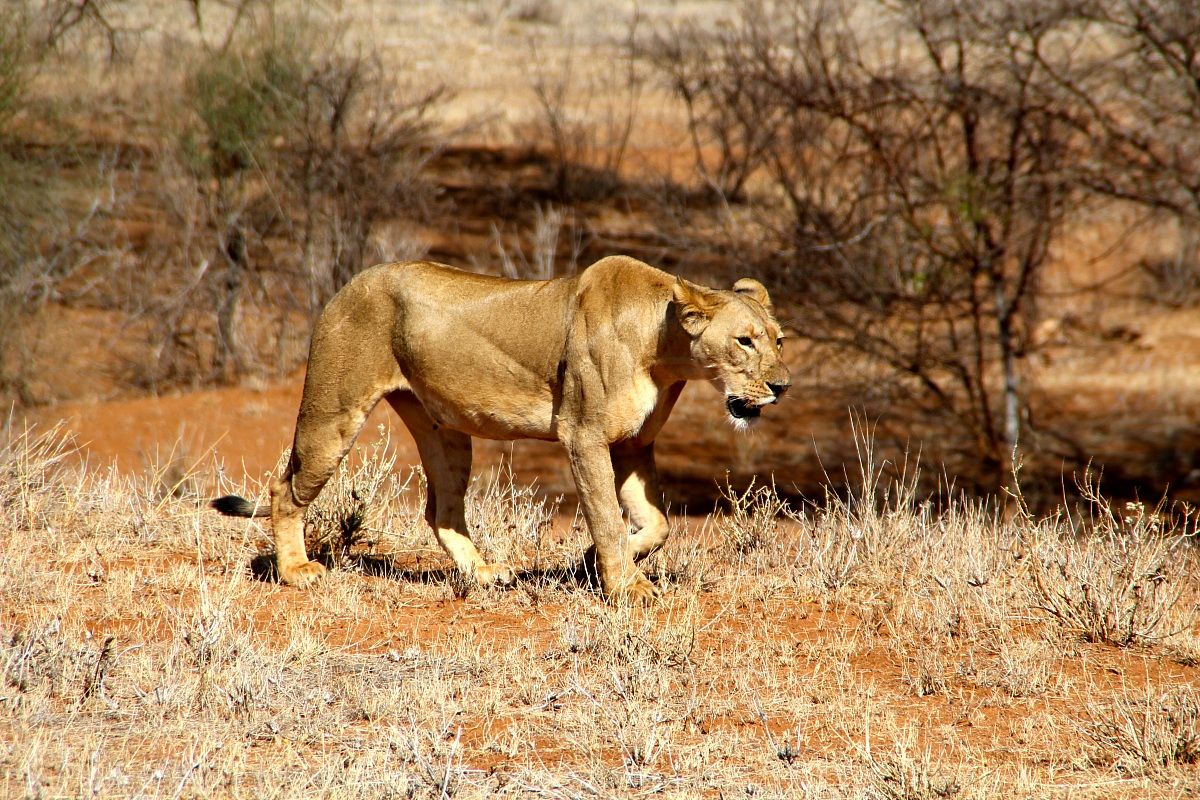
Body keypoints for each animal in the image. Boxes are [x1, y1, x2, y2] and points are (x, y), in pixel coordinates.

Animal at [212, 255, 790, 602]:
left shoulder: (633, 444)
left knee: (441, 510)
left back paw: (484, 574)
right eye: (744, 340)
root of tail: (347, 284)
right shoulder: (583, 435)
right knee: (284, 489)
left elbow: (658, 523)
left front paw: (594, 561)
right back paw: (295, 570)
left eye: (779, 339)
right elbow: (605, 515)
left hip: (445, 432)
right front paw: (626, 585)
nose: (782, 386)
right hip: (333, 414)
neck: (664, 350)